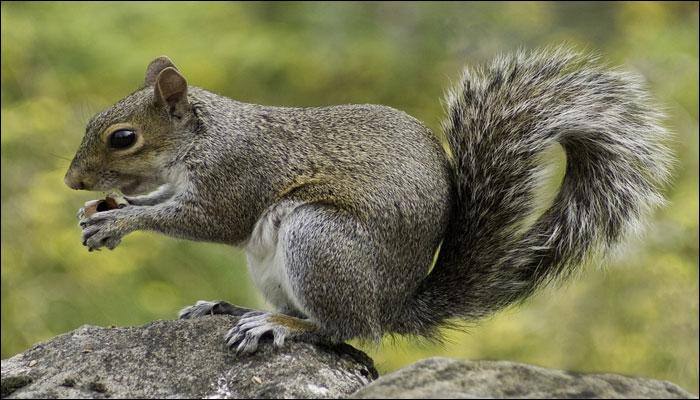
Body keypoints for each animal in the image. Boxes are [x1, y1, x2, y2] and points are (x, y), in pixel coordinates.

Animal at [64, 48, 672, 354]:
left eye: (123, 138)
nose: (72, 181)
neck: (205, 137)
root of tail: (391, 305)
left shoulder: (238, 175)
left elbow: (206, 219)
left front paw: (120, 222)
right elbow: (167, 199)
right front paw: (101, 211)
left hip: (319, 239)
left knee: (343, 329)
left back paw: (278, 326)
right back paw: (232, 309)